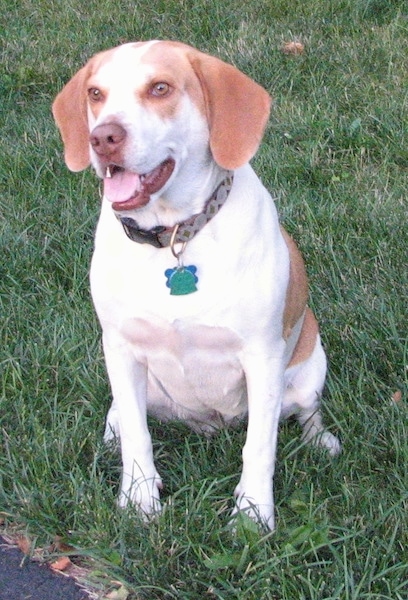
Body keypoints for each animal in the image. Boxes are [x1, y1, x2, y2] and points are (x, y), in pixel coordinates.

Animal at [52, 41, 340, 528]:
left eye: (160, 88)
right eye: (95, 93)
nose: (103, 137)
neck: (173, 235)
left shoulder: (262, 356)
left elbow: (259, 447)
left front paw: (252, 515)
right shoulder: (120, 346)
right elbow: (138, 437)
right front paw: (139, 500)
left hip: (310, 363)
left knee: (306, 412)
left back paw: (321, 441)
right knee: (123, 414)